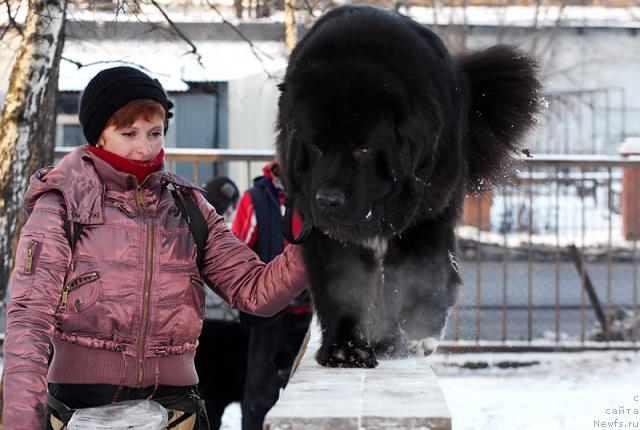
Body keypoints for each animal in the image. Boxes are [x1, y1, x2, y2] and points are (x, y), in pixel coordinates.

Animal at [278, 5, 544, 368]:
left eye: (364, 149)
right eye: (316, 146)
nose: (329, 199)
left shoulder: (425, 213)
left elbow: (417, 273)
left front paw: (413, 334)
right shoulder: (320, 225)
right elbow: (341, 283)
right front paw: (345, 348)